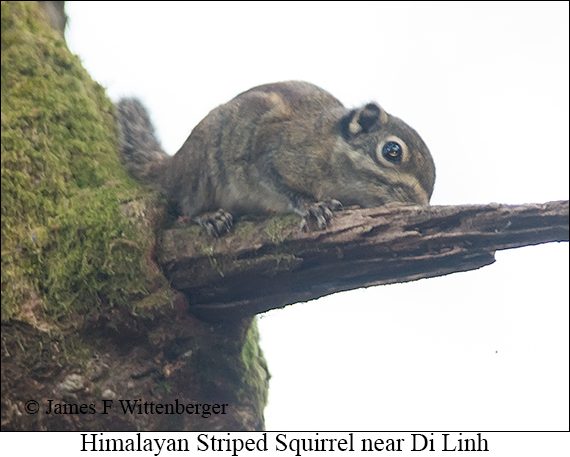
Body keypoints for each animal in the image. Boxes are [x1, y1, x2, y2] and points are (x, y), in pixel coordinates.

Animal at [116, 80, 434, 235]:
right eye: (392, 151)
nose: (421, 205)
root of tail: (173, 166)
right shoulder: (269, 155)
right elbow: (278, 182)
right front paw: (312, 205)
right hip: (200, 172)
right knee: (185, 206)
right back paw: (208, 216)